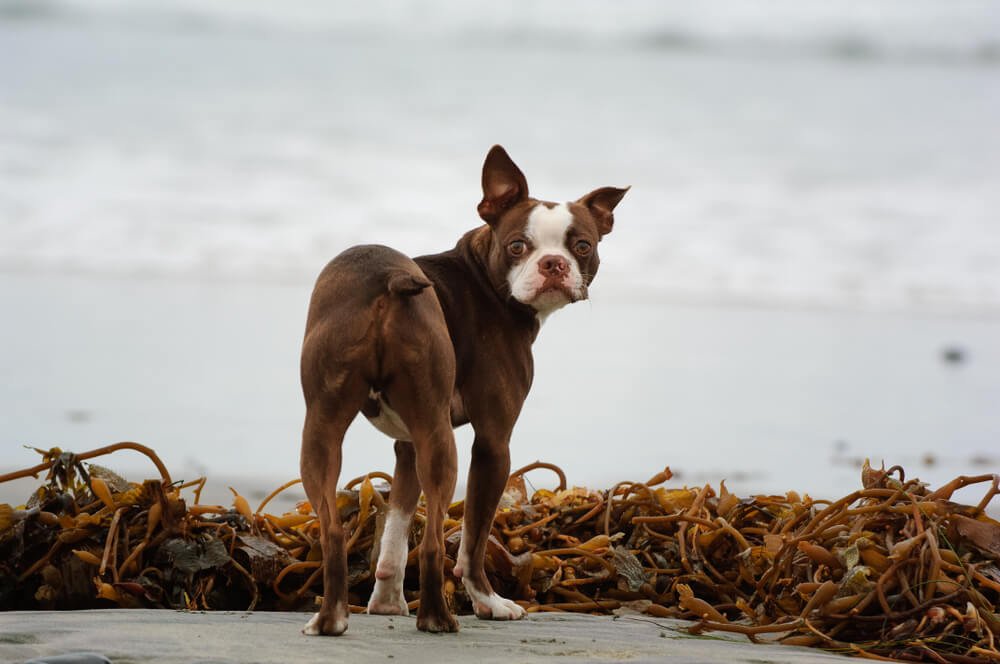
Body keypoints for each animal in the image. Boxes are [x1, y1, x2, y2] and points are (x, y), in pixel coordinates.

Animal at [298, 145, 624, 632]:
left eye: (582, 246)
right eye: (517, 246)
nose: (554, 264)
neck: (485, 279)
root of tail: (386, 281)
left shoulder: (407, 445)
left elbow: (397, 522)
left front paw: (387, 600)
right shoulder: (493, 442)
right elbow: (473, 537)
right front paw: (490, 602)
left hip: (324, 426)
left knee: (333, 527)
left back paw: (330, 619)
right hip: (442, 442)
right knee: (436, 539)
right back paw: (437, 618)